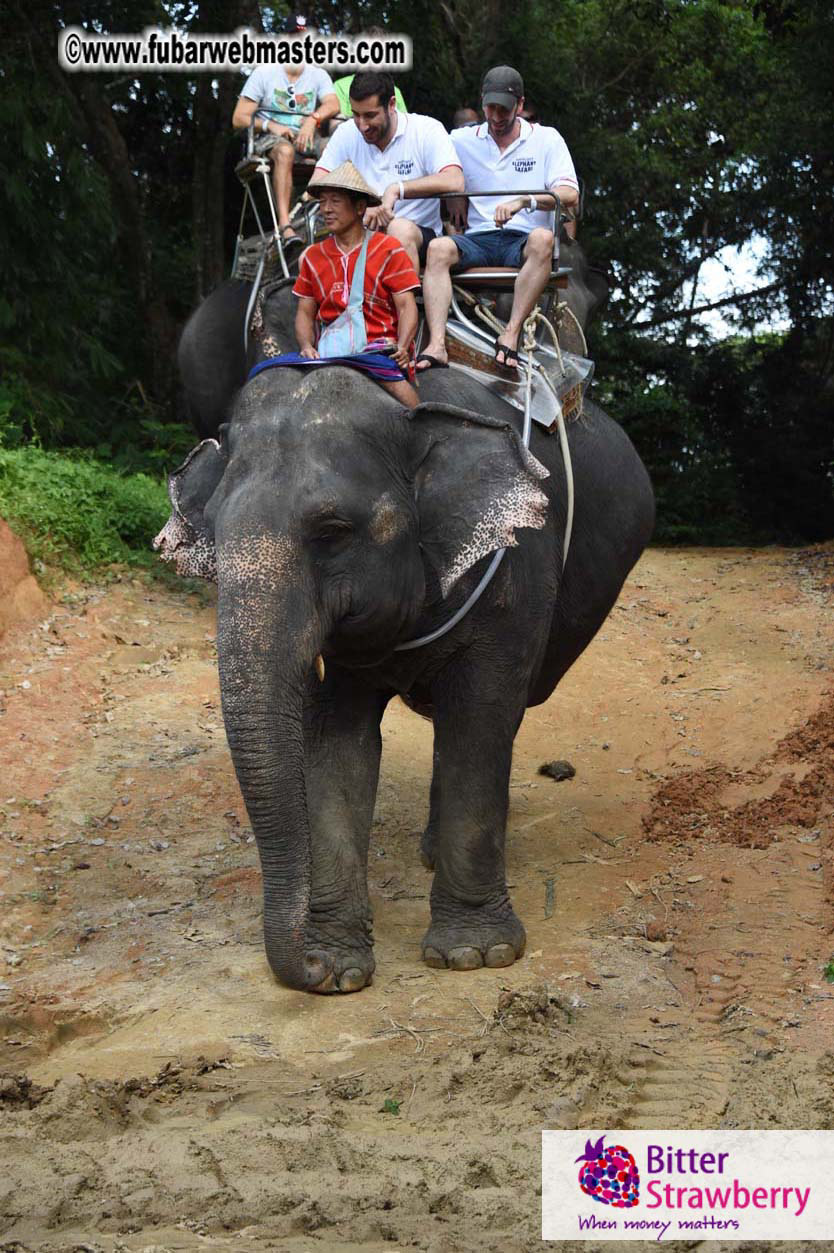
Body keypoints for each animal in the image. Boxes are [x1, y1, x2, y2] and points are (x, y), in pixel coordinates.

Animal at [155, 357, 654, 995]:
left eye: (332, 531)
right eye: (214, 536)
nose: (308, 968)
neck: (406, 410)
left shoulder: (516, 572)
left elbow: (480, 719)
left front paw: (476, 955)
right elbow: (337, 744)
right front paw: (340, 969)